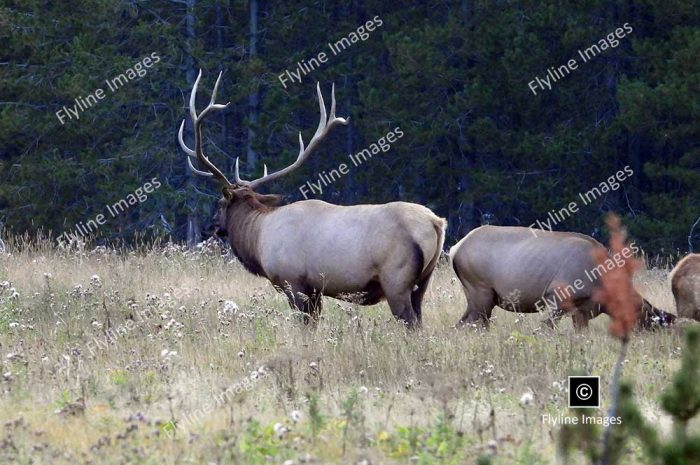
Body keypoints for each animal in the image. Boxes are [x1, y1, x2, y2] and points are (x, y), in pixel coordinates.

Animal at [178, 71, 446, 326]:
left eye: (220, 203)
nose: (210, 227)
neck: (259, 237)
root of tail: (436, 223)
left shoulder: (294, 282)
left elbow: (305, 325)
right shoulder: (316, 290)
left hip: (396, 279)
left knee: (410, 323)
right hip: (423, 281)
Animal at [452, 226, 676, 328]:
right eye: (654, 322)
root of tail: (455, 249)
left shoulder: (583, 311)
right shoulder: (556, 298)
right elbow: (545, 328)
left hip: (474, 297)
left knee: (462, 324)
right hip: (482, 293)